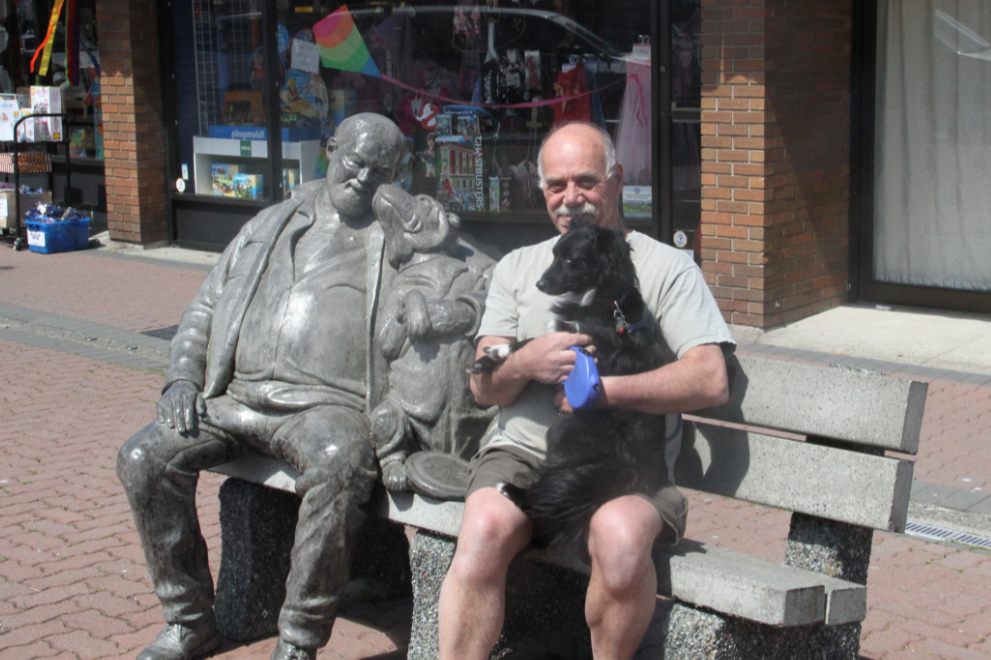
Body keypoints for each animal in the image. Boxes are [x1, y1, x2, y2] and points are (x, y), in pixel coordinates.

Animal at [470, 222, 668, 552]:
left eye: (571, 260)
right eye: (553, 254)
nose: (539, 284)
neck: (601, 301)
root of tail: (628, 465)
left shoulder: (583, 348)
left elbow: (530, 342)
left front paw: (498, 351)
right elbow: (530, 345)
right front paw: (489, 359)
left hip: (562, 431)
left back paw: (513, 490)